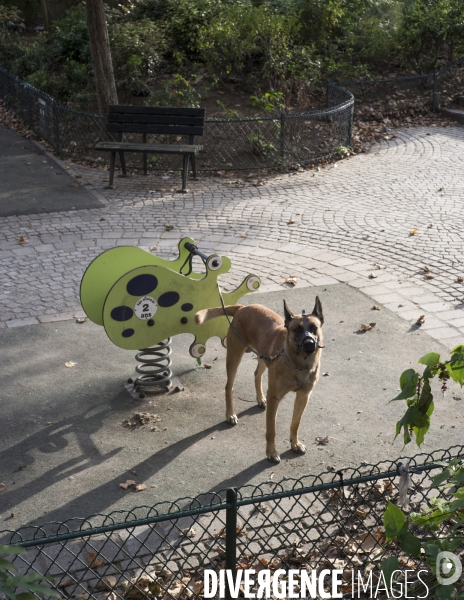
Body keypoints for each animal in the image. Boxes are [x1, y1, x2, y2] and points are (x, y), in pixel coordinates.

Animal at [195, 298, 322, 462]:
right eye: (297, 329)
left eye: (314, 327)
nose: (309, 343)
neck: (297, 365)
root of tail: (242, 307)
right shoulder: (274, 398)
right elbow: (271, 430)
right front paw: (271, 452)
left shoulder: (303, 397)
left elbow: (295, 423)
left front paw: (295, 443)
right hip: (234, 357)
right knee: (228, 387)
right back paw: (230, 414)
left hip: (263, 357)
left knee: (256, 374)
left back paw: (260, 398)